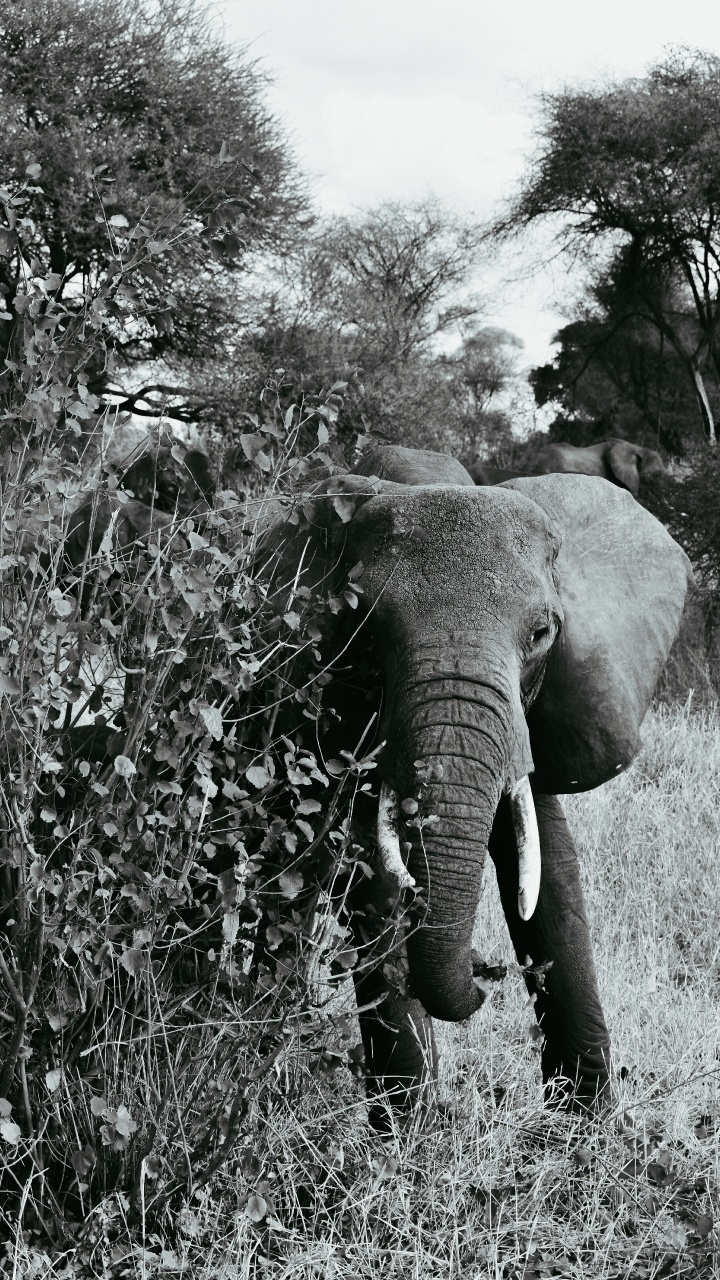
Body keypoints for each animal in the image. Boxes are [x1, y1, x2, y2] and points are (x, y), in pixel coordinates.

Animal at [259, 443, 691, 1123]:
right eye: (365, 632)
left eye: (541, 633)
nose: (486, 975)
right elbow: (370, 875)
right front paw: (408, 1133)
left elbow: (546, 865)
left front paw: (588, 1125)